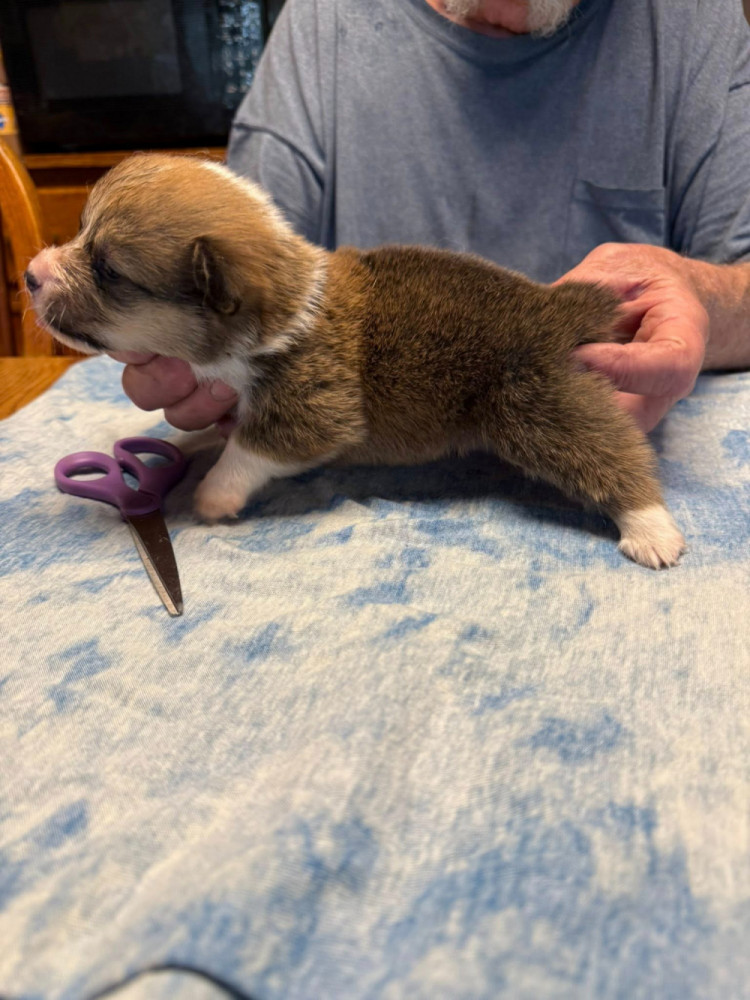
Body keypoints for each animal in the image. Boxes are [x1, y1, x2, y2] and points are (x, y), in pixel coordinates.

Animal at [25, 153, 685, 568]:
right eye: (80, 231)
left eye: (108, 271)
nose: (30, 274)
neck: (283, 311)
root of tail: (554, 304)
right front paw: (193, 448)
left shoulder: (314, 409)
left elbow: (251, 449)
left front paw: (212, 496)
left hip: (536, 408)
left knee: (607, 451)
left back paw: (650, 527)